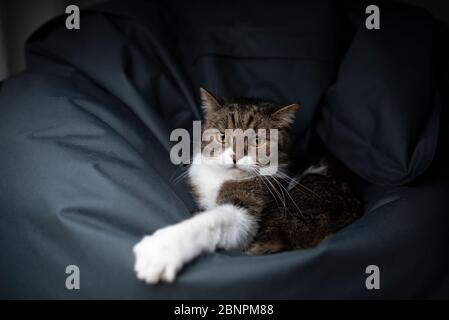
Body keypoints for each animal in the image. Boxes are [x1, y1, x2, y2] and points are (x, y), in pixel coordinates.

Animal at [132, 89, 360, 284]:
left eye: (257, 140)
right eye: (222, 136)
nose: (235, 156)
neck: (222, 178)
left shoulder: (252, 204)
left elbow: (216, 220)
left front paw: (161, 249)